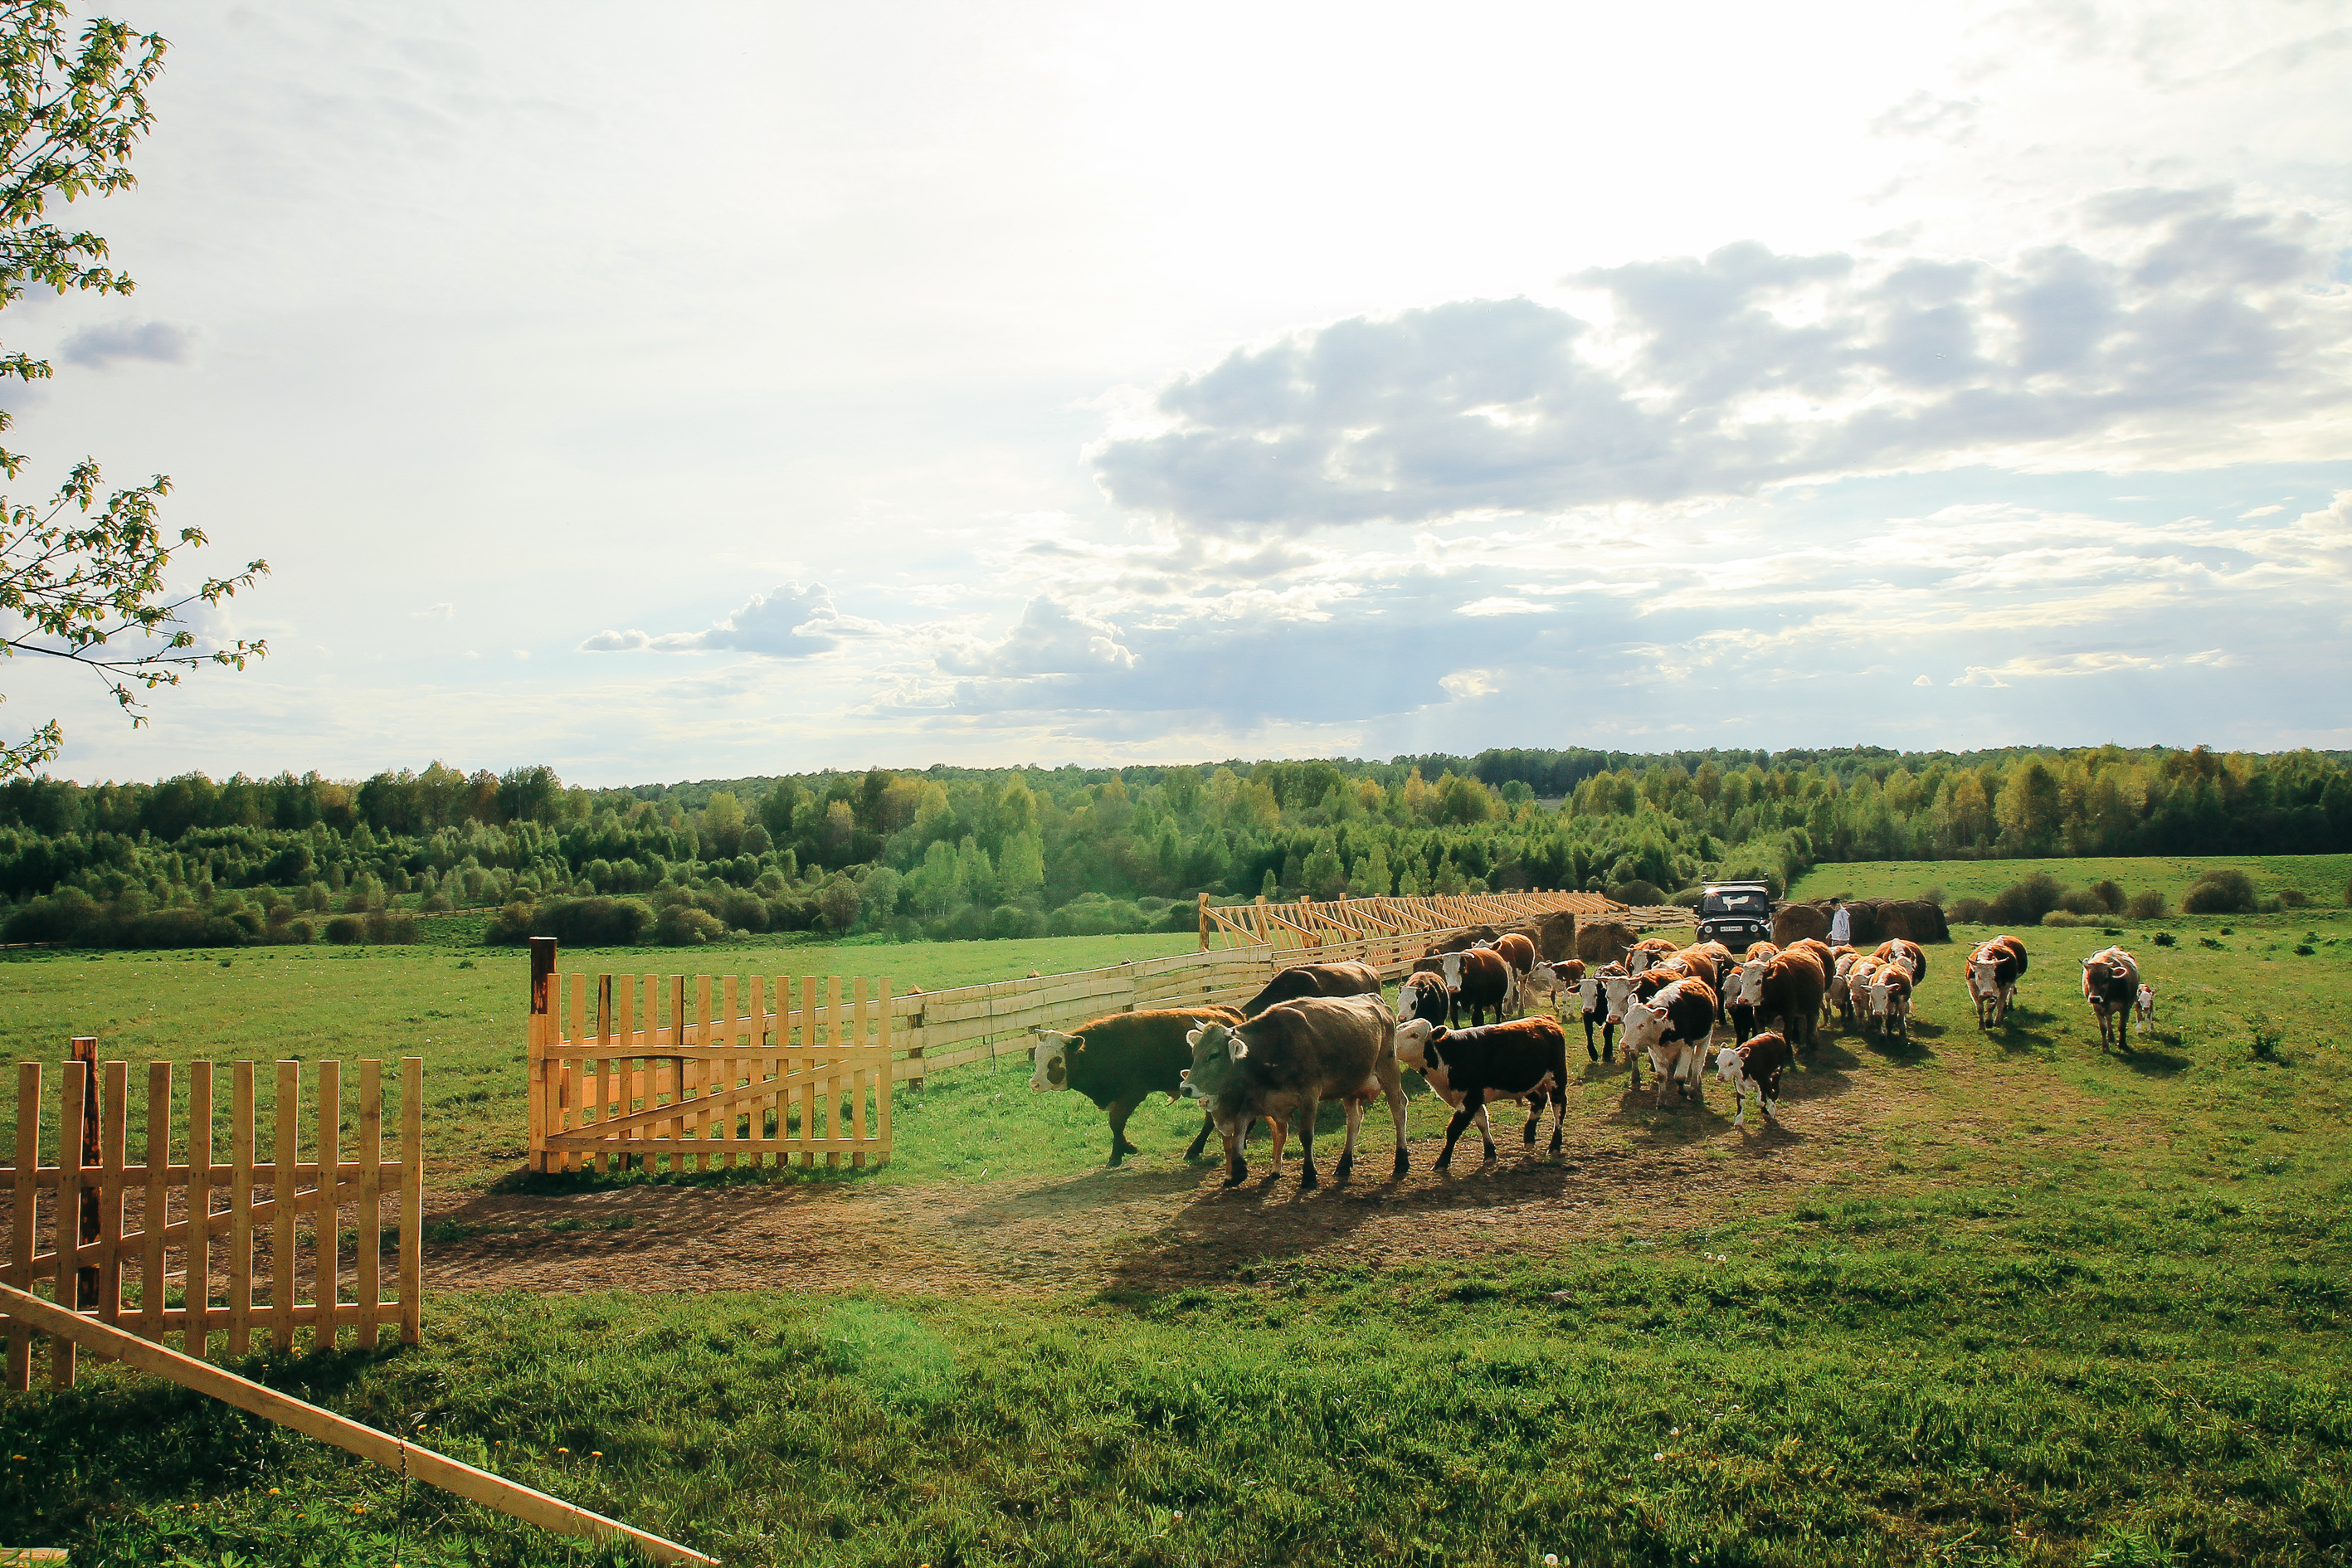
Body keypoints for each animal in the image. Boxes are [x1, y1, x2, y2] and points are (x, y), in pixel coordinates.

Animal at [1035, 1006, 1251, 1166]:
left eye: (1056, 1059)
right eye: (1037, 1057)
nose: (1034, 1083)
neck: (1101, 1050)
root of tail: (1230, 1014)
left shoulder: (1132, 1095)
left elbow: (1116, 1124)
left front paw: (1118, 1154)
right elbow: (1115, 1124)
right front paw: (1124, 1149)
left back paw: (1195, 1149)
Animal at [1185, 991, 1401, 1189]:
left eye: (1214, 1055)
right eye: (1194, 1053)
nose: (1185, 1088)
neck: (1271, 1048)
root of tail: (1375, 999)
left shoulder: (1309, 1095)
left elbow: (1306, 1136)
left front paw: (1309, 1176)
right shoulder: (1254, 1100)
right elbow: (1239, 1131)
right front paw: (1238, 1172)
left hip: (1388, 1069)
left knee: (1398, 1109)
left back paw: (1401, 1161)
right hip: (1351, 1085)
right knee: (1354, 1120)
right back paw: (1344, 1164)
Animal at [1382, 1020, 1570, 1166]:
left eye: (1414, 1035)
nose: (1392, 1044)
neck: (1449, 1056)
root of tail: (1547, 1021)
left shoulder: (1470, 1099)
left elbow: (1454, 1129)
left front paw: (1442, 1162)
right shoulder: (1473, 1099)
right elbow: (1482, 1123)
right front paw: (1490, 1154)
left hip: (1556, 1079)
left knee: (1559, 1109)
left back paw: (1554, 1146)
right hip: (1526, 1083)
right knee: (1539, 1102)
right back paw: (1529, 1138)